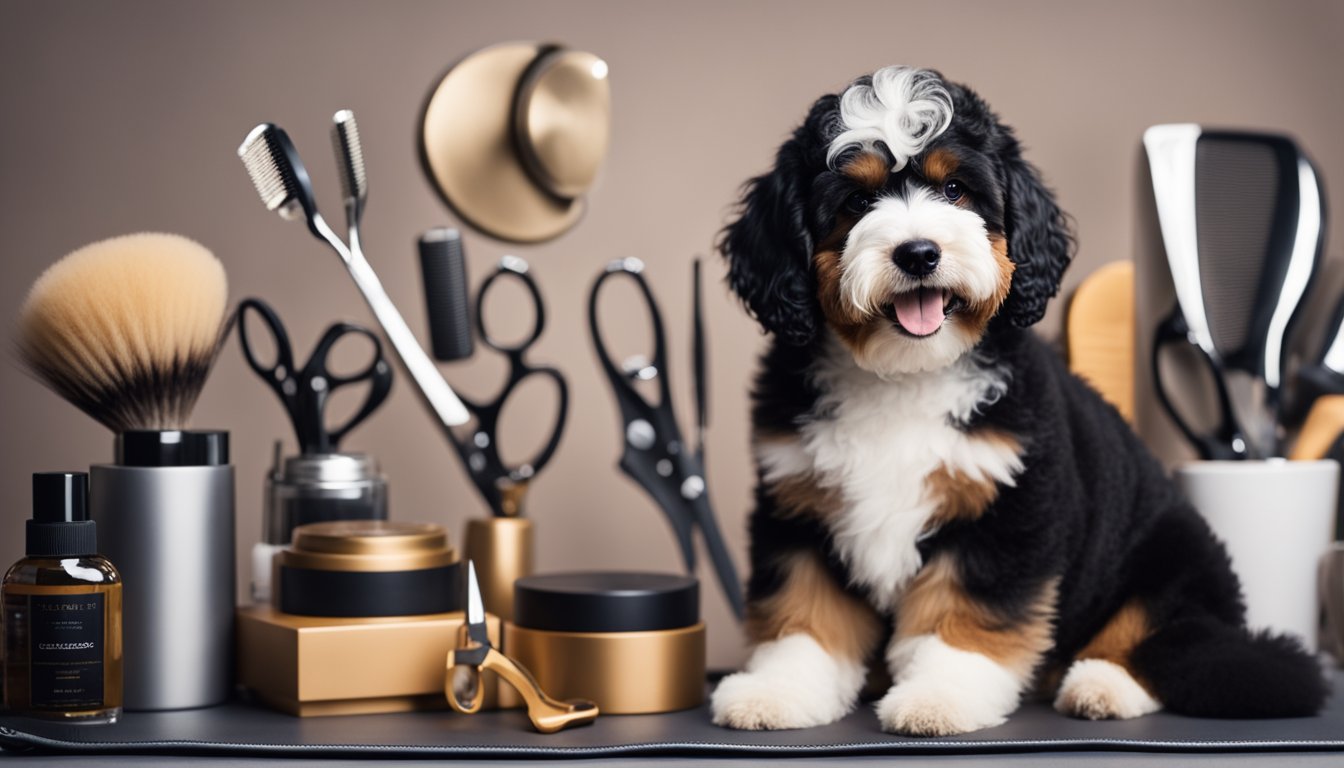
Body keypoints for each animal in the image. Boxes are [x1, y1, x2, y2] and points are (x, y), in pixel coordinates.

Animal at [709, 67, 1327, 737]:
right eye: (854, 201)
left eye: (955, 189)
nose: (918, 253)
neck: (902, 375)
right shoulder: (797, 504)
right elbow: (803, 611)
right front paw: (780, 689)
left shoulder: (1007, 509)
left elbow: (965, 616)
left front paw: (940, 696)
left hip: (1171, 548)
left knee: (1168, 635)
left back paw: (1104, 685)